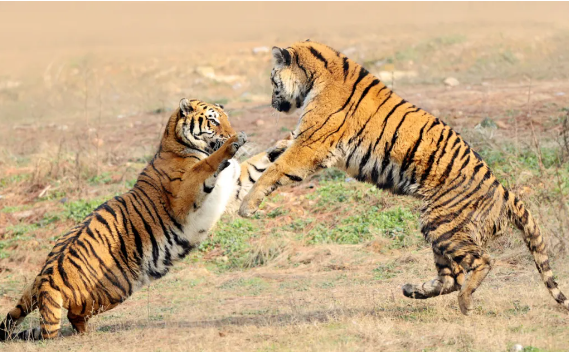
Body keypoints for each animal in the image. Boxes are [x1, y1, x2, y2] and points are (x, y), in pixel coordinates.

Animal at [0, 99, 290, 340]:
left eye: (227, 118)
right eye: (214, 121)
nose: (238, 132)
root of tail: (48, 278)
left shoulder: (235, 185)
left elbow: (259, 164)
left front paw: (285, 141)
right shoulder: (185, 194)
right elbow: (207, 165)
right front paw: (233, 144)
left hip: (44, 288)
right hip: (114, 289)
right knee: (72, 315)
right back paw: (87, 333)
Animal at [240, 40, 568, 314]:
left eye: (272, 80)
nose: (272, 104)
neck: (316, 76)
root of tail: (504, 190)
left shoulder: (312, 144)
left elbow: (276, 169)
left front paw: (247, 205)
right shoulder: (303, 137)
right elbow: (273, 153)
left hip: (443, 224)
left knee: (479, 264)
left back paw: (464, 303)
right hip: (439, 230)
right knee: (451, 276)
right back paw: (413, 290)